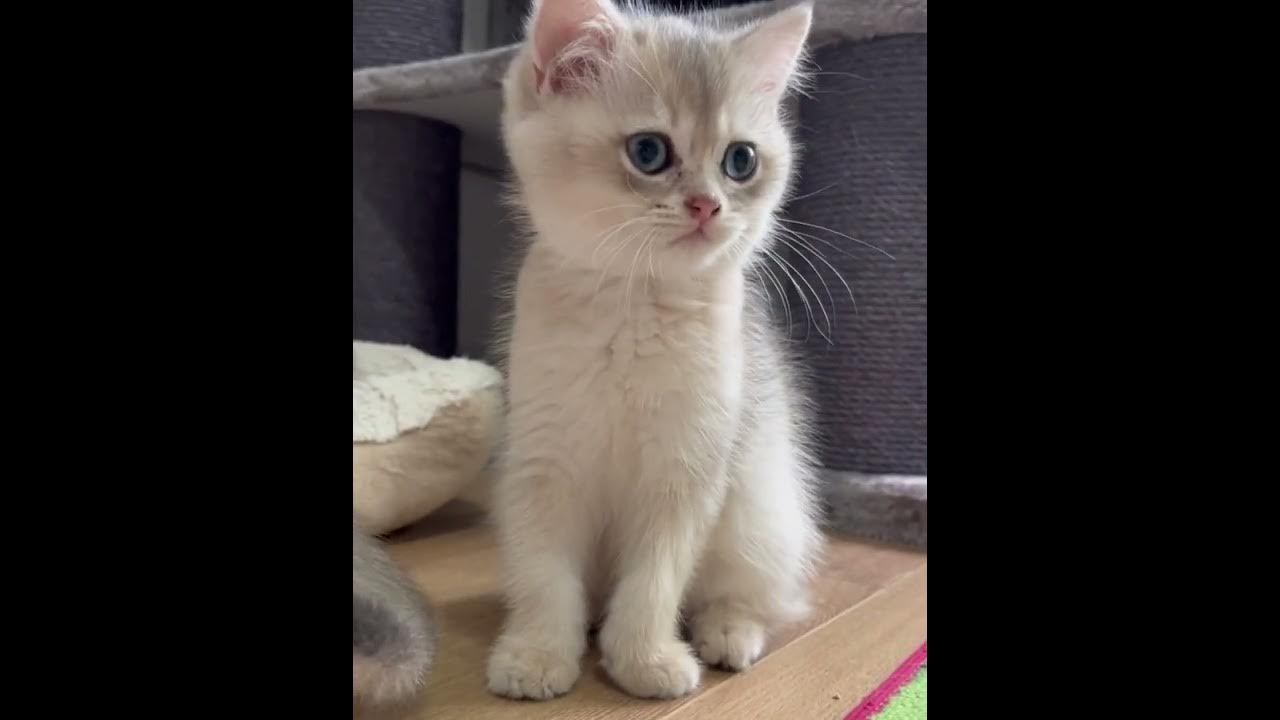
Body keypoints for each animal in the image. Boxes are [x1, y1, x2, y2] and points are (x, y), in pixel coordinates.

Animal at [488, 0, 819, 696]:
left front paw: (644, 659)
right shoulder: (543, 462)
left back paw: (728, 632)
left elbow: (656, 580)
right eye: (649, 151)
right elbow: (545, 574)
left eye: (740, 161)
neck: (635, 307)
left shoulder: (689, 467)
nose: (707, 206)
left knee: (753, 595)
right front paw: (535, 655)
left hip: (763, 511)